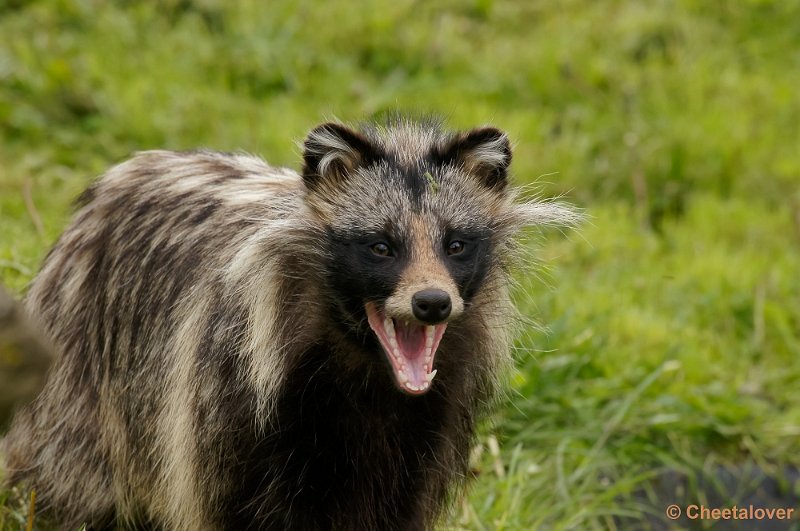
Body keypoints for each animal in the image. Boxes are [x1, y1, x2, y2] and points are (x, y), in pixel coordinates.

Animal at [0, 118, 576, 528]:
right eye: (381, 246)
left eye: (456, 244)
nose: (431, 303)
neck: (367, 373)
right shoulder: (230, 402)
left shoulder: (425, 429)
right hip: (81, 377)